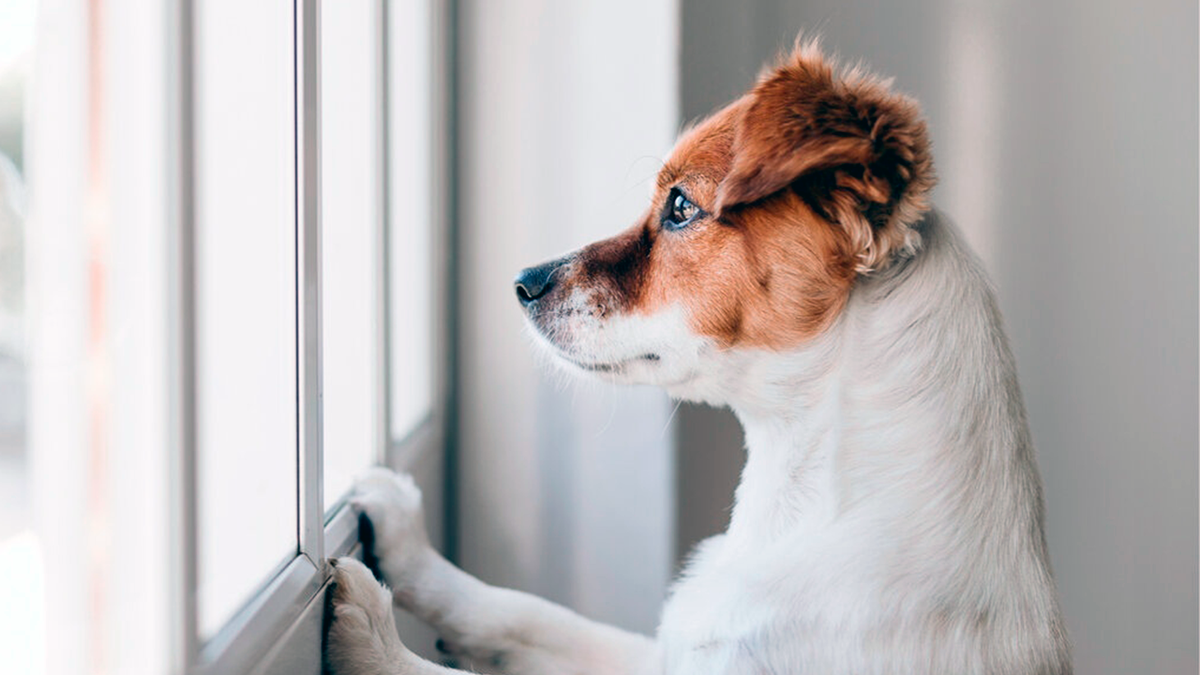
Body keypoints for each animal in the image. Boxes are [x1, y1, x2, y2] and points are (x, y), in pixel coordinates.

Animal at [326, 40, 1070, 672]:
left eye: (681, 206)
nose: (522, 283)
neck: (805, 502)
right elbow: (529, 613)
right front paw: (409, 547)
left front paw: (376, 637)